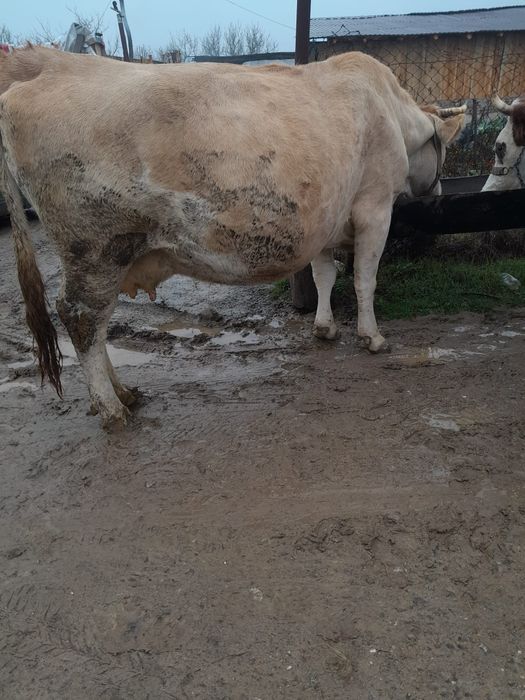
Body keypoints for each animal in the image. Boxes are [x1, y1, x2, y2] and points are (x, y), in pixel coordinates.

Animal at [0, 46, 465, 427]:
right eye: (445, 150)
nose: (439, 191)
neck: (391, 113)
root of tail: (47, 65)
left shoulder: (326, 221)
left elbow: (324, 277)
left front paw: (324, 328)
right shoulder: (375, 207)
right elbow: (365, 280)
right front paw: (373, 337)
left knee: (95, 323)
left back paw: (124, 393)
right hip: (96, 245)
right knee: (81, 317)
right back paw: (112, 408)